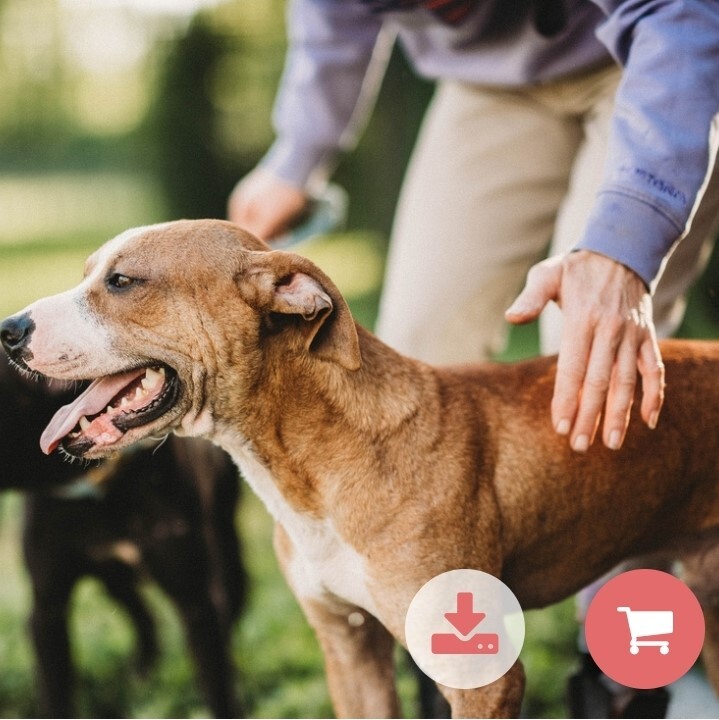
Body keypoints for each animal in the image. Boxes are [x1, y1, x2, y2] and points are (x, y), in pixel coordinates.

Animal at [0, 356, 245, 720]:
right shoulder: (48, 608)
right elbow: (55, 693)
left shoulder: (192, 597)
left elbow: (216, 683)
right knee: (141, 615)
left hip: (222, 544)